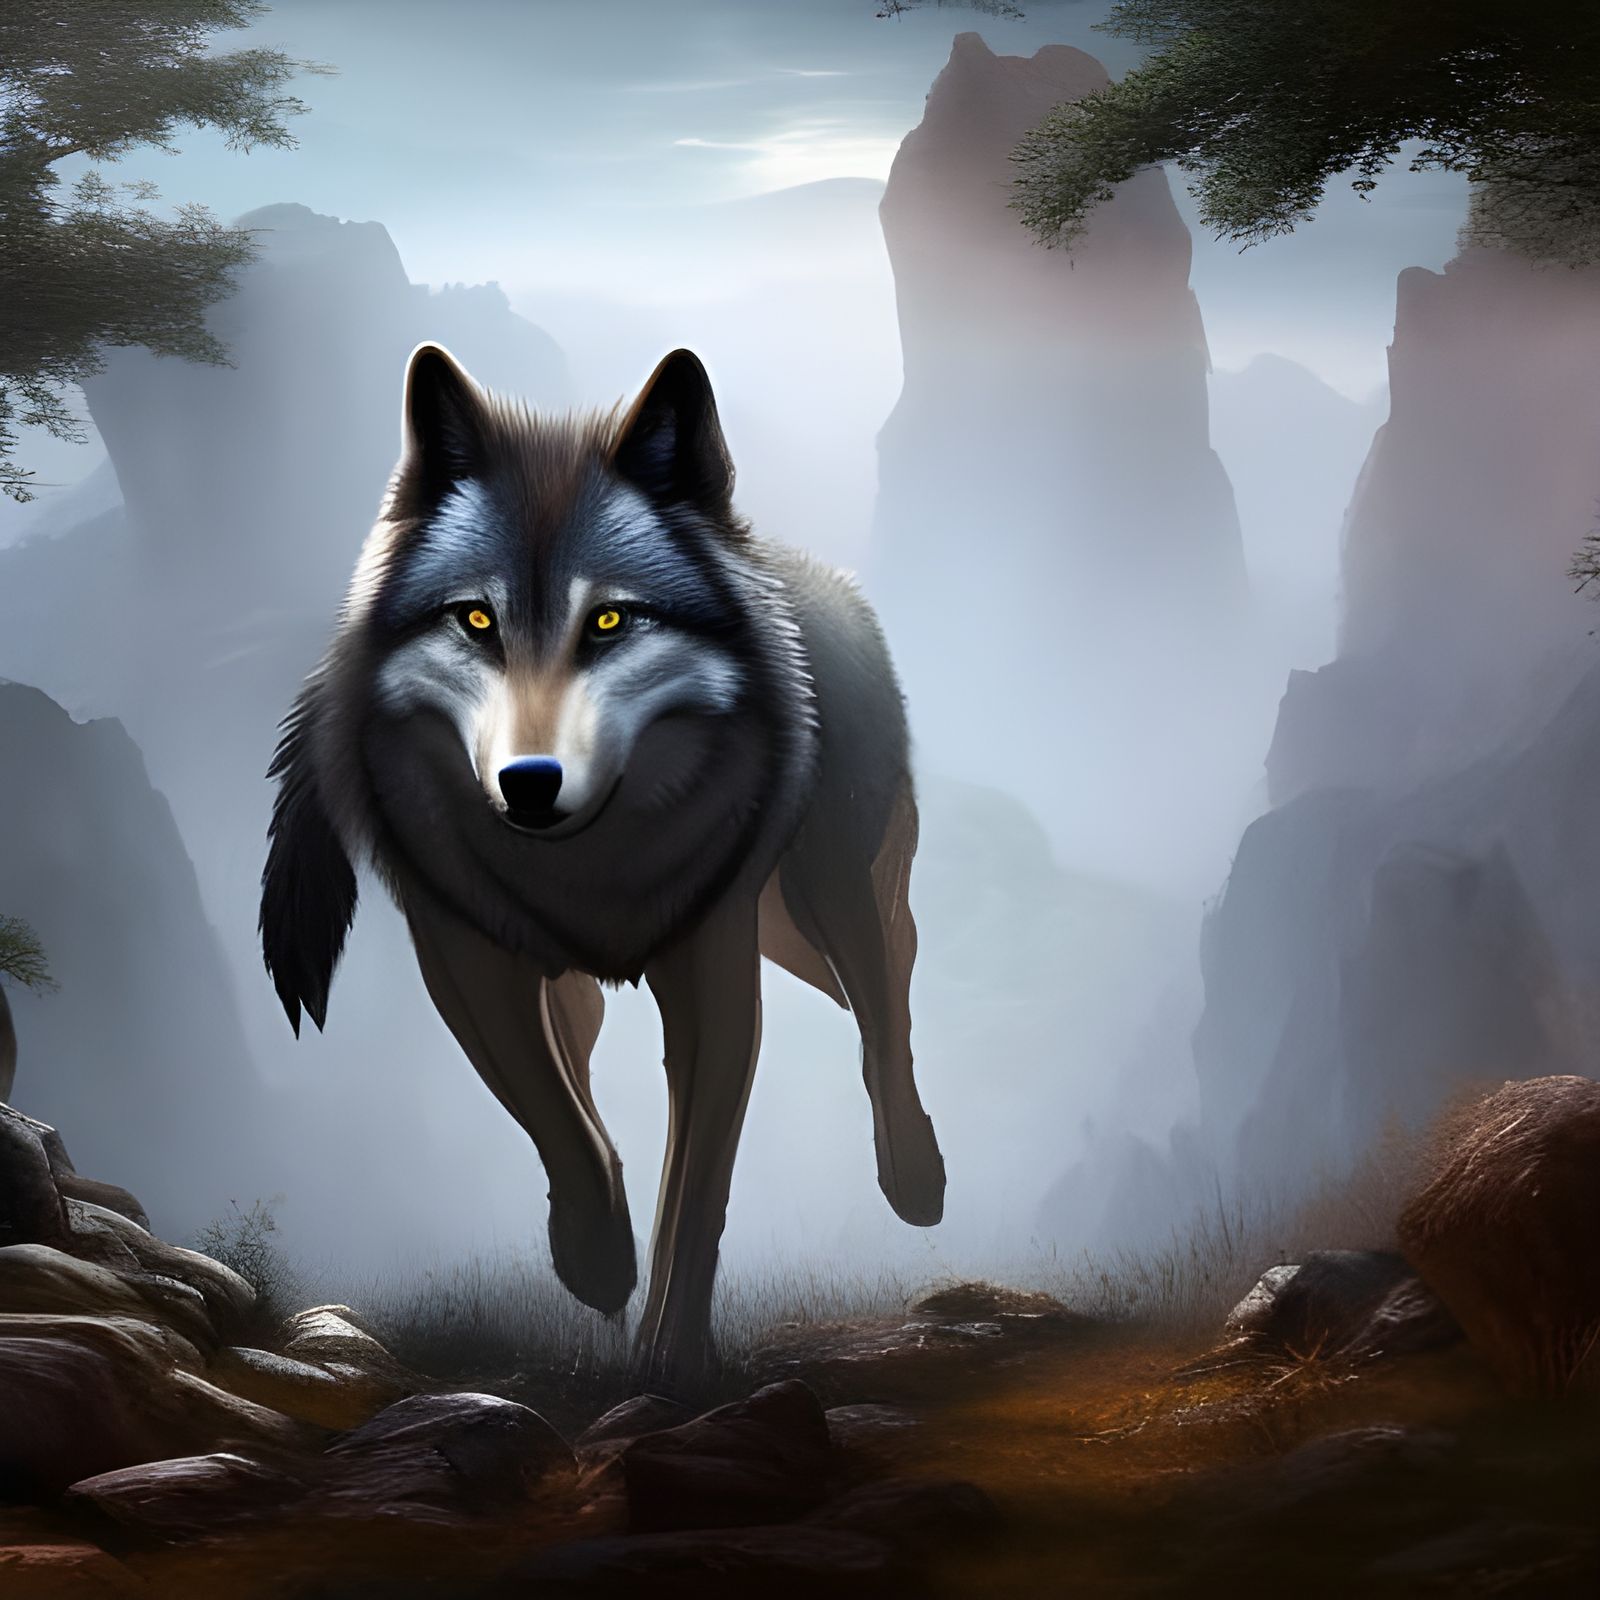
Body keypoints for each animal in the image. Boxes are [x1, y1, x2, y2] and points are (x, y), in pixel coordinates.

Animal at [259, 344, 945, 1382]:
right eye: (475, 621)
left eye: (612, 622)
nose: (528, 784)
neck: (592, 873)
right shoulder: (468, 959)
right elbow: (557, 1123)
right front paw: (596, 1260)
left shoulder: (717, 972)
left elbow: (696, 1192)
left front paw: (671, 1357)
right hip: (622, 980)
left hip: (823, 909)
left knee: (887, 994)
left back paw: (916, 1173)